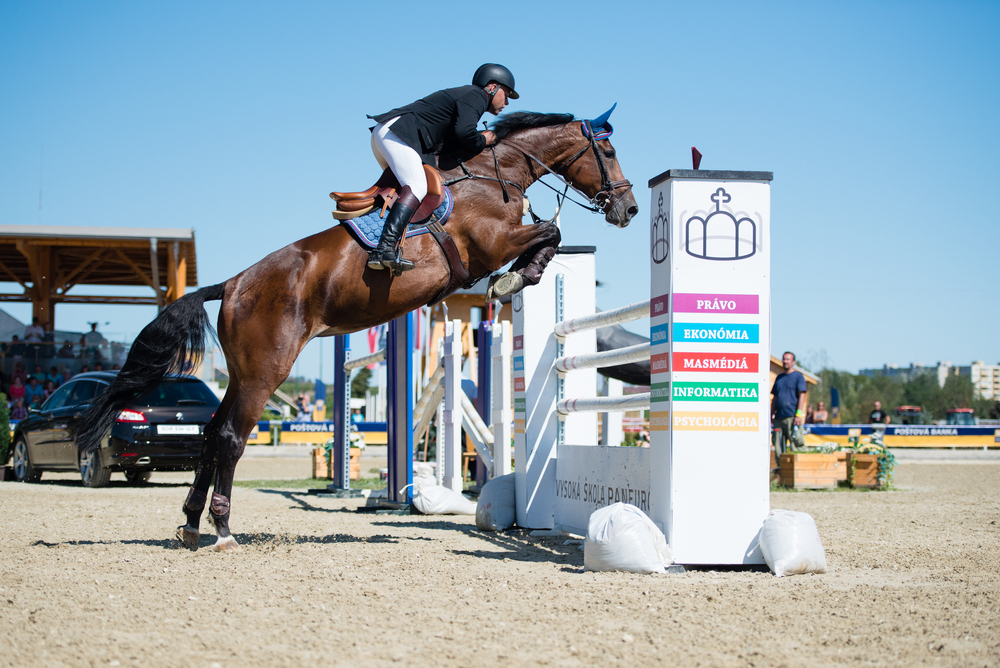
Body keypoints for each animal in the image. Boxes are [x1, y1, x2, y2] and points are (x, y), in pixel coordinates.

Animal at [76, 110, 638, 552]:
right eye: (608, 150)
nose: (628, 208)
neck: (493, 175)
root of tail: (232, 284)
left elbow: (549, 233)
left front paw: (518, 278)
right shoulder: (493, 242)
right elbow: (550, 232)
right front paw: (517, 278)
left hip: (240, 373)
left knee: (213, 435)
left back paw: (192, 524)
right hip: (265, 372)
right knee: (232, 438)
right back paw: (223, 531)